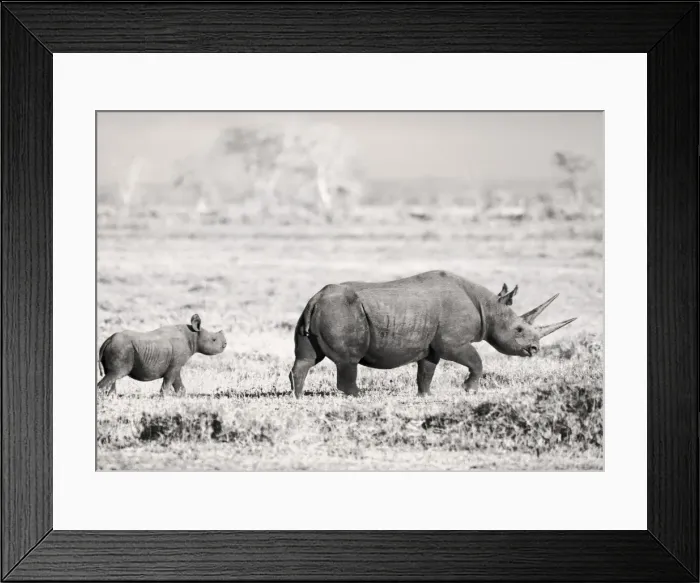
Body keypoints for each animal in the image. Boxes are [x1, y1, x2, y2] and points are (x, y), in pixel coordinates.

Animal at [97, 314, 227, 396]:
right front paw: (164, 397)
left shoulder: (175, 366)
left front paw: (181, 396)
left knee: (112, 376)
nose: (225, 344)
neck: (193, 335)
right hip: (121, 349)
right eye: (214, 340)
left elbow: (178, 384)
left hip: (116, 348)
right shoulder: (175, 365)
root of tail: (108, 340)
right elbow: (168, 382)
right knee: (117, 373)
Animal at [289, 271, 575, 398]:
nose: (534, 349)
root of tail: (315, 299)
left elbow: (426, 371)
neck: (489, 307)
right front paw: (469, 390)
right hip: (342, 311)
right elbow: (476, 361)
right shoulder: (452, 343)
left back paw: (298, 397)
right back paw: (359, 396)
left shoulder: (432, 346)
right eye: (519, 330)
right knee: (348, 361)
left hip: (320, 309)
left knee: (306, 359)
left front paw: (425, 396)